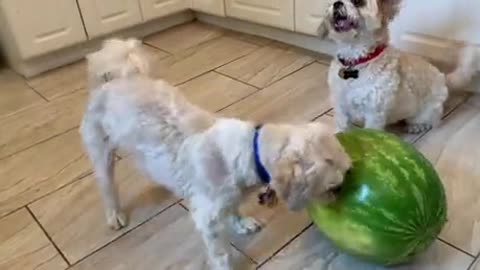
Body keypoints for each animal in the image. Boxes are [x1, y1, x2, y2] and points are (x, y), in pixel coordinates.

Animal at [80, 38, 350, 270]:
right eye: (333, 187)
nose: (340, 196)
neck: (249, 149)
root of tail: (113, 80)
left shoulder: (230, 196)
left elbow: (234, 209)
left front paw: (242, 223)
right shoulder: (207, 218)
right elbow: (221, 253)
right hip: (100, 149)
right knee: (107, 186)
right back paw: (114, 214)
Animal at [316, 0, 478, 133]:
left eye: (358, 2)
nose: (337, 3)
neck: (357, 61)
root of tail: (442, 77)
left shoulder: (374, 113)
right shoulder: (340, 107)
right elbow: (341, 129)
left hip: (426, 111)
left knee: (429, 120)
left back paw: (417, 126)